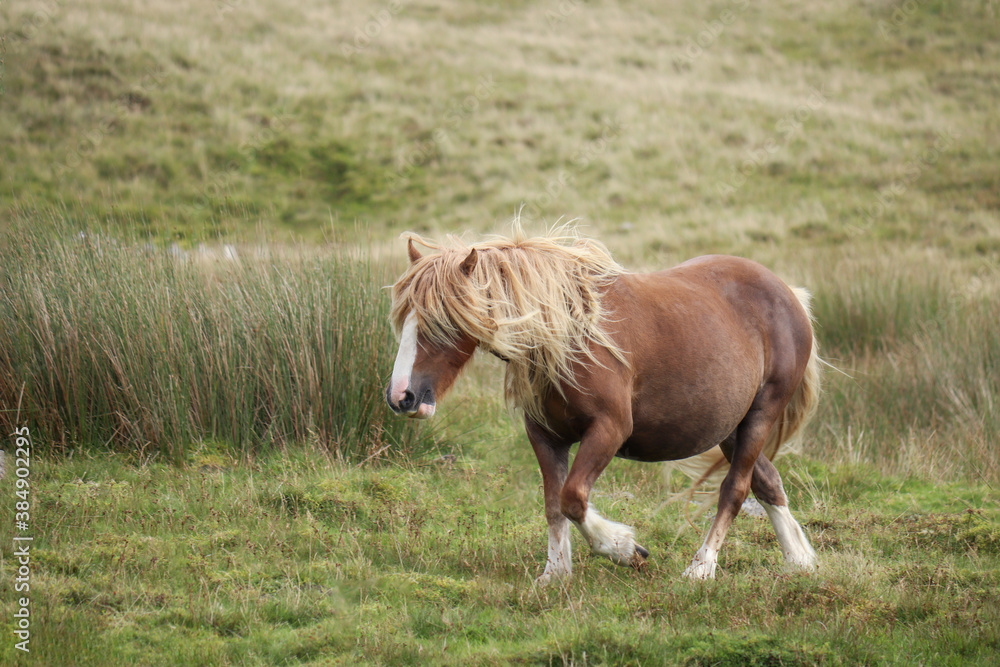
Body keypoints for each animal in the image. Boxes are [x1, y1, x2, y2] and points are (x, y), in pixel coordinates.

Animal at [384, 227, 820, 580]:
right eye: (404, 318)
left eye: (440, 321)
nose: (401, 396)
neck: (567, 336)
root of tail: (787, 294)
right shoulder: (545, 436)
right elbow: (553, 504)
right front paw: (555, 574)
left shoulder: (609, 429)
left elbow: (573, 497)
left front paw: (625, 549)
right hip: (728, 427)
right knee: (767, 482)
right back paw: (799, 560)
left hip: (761, 415)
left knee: (735, 489)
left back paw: (701, 569)